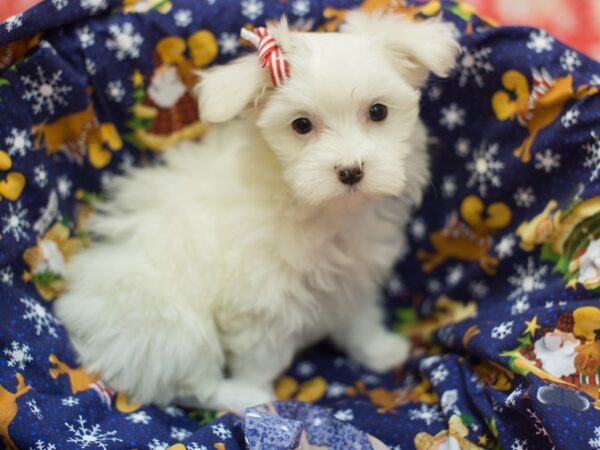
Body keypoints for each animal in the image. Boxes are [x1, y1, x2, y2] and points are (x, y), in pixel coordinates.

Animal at [56, 10, 460, 414]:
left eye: (378, 111)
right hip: (167, 321)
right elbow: (260, 356)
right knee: (189, 381)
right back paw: (242, 397)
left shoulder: (353, 275)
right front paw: (260, 397)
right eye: (301, 125)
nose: (350, 171)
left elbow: (359, 318)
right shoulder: (259, 298)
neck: (321, 209)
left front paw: (378, 349)